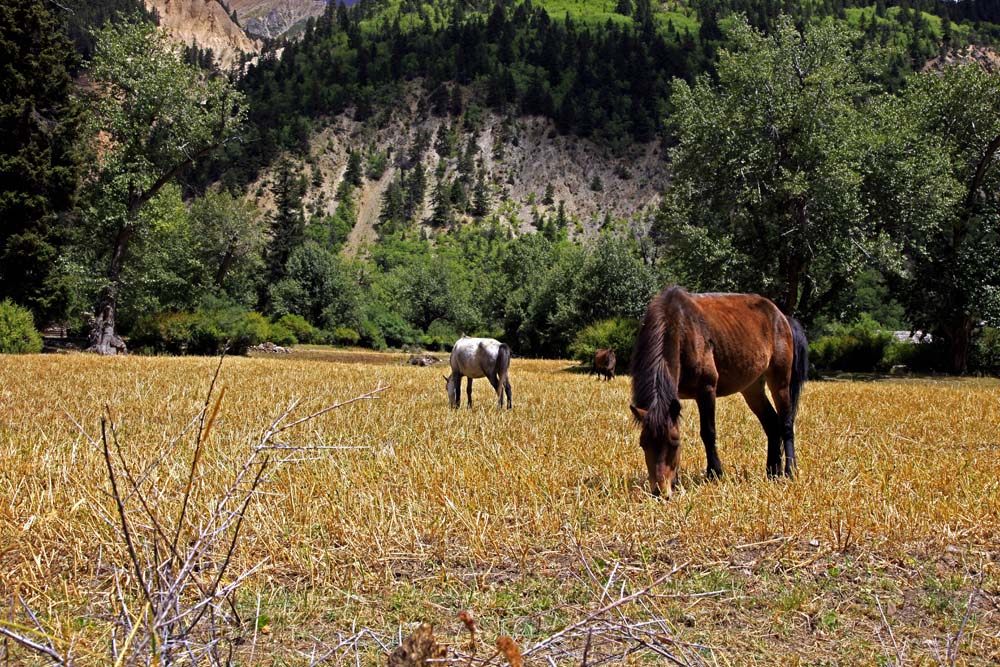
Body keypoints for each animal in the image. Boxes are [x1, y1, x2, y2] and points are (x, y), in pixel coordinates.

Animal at [628, 284, 808, 498]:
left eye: (674, 443)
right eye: (643, 444)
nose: (660, 492)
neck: (679, 326)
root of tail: (781, 317)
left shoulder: (706, 389)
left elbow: (708, 432)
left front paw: (714, 473)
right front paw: (677, 480)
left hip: (780, 381)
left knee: (786, 424)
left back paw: (789, 471)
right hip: (752, 387)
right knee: (772, 424)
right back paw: (772, 471)